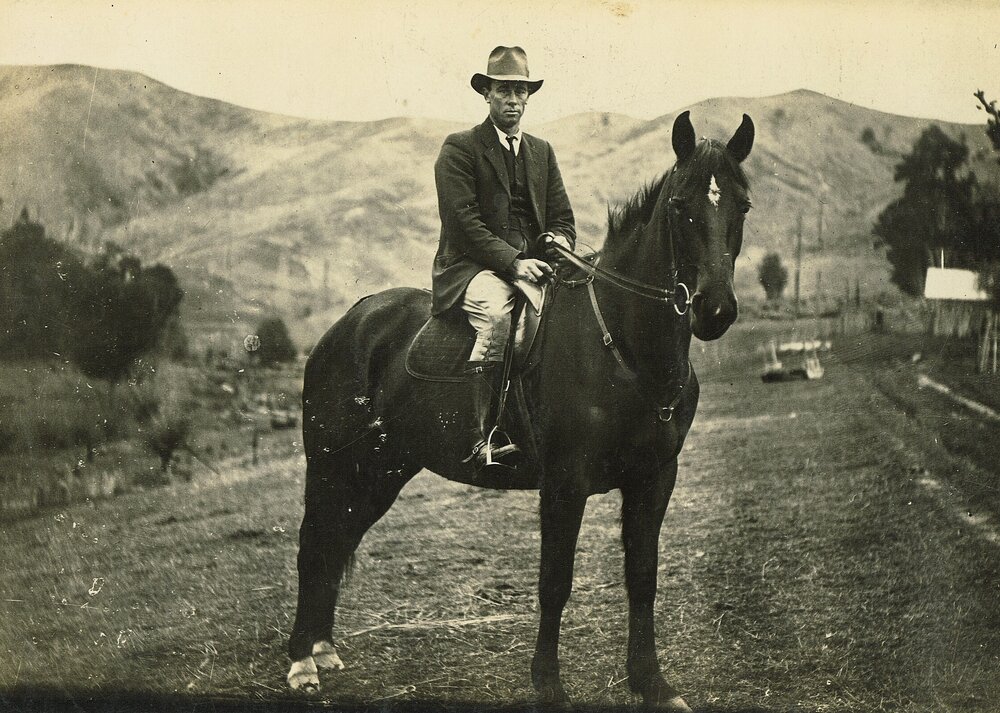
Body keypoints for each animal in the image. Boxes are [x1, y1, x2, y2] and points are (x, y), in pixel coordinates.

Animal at [287, 110, 755, 710]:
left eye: (742, 205)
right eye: (678, 205)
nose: (714, 309)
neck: (623, 349)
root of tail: (350, 322)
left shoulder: (655, 478)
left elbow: (643, 577)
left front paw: (652, 683)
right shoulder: (564, 483)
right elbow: (555, 581)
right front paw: (549, 685)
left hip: (381, 470)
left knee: (338, 539)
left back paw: (321, 648)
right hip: (332, 465)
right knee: (314, 544)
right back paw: (302, 662)